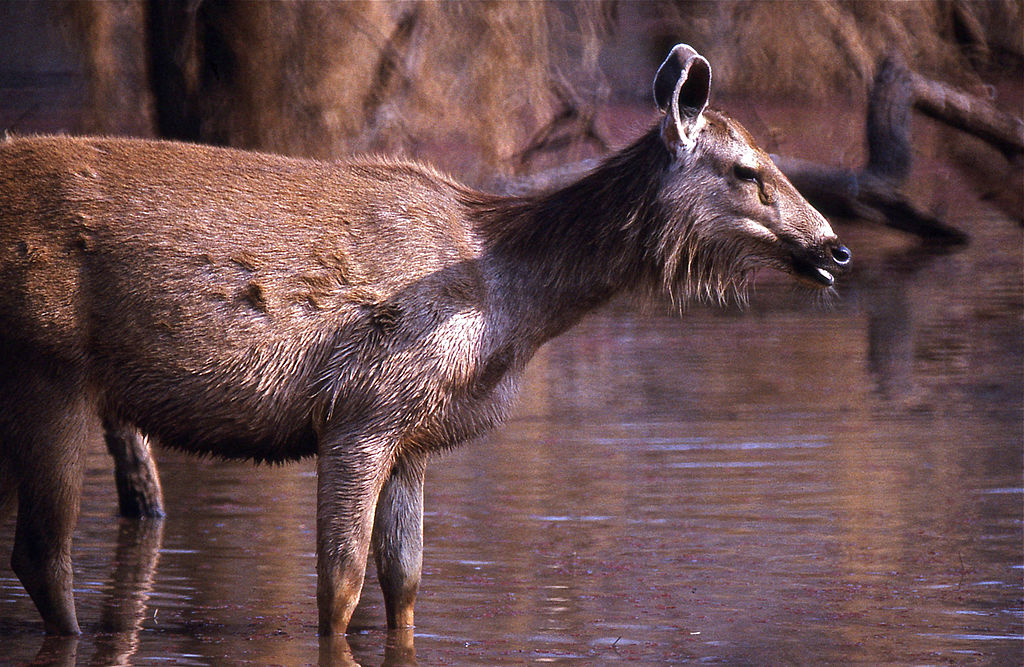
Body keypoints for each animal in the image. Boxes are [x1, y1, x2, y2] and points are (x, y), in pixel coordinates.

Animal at [0, 44, 847, 635]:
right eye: (745, 169)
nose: (834, 247)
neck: (510, 304)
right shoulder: (361, 414)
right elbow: (338, 590)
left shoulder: (414, 437)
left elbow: (404, 586)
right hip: (46, 365)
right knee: (43, 555)